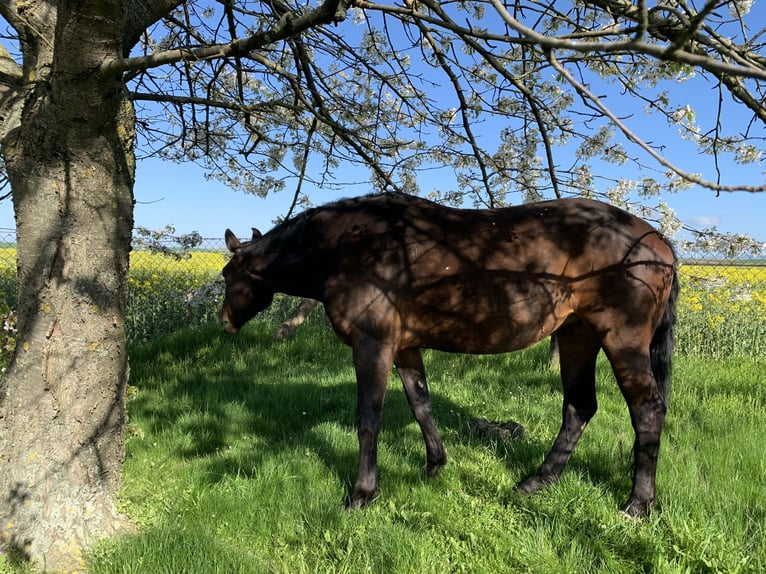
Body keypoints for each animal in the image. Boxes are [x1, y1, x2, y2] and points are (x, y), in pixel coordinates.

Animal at [220, 192, 680, 516]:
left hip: (621, 341)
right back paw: (537, 482)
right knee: (579, 407)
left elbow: (369, 420)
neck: (347, 244)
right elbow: (420, 404)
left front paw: (362, 494)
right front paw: (435, 465)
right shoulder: (404, 347)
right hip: (577, 336)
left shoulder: (373, 345)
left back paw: (638, 504)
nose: (224, 320)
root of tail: (659, 243)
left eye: (227, 274)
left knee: (647, 410)